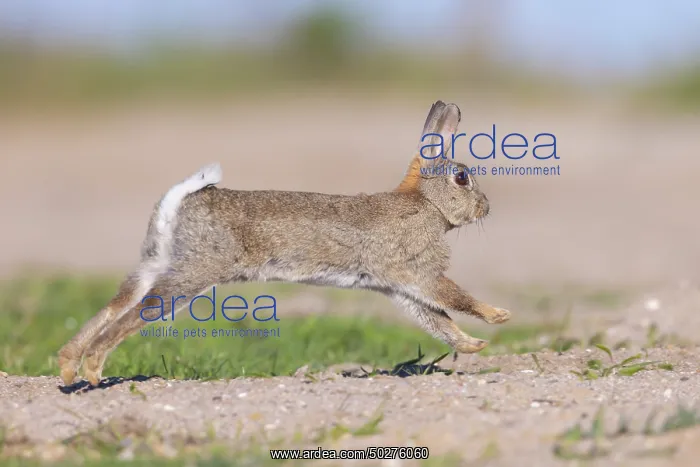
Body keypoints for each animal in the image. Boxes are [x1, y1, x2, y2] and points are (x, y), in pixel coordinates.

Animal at [57, 100, 511, 387]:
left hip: (154, 263)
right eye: (462, 177)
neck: (427, 203)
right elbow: (453, 298)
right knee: (140, 313)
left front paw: (473, 345)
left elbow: (438, 320)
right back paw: (94, 370)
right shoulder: (417, 269)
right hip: (193, 273)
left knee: (116, 303)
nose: (487, 206)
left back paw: (67, 369)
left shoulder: (398, 285)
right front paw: (498, 317)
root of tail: (182, 200)